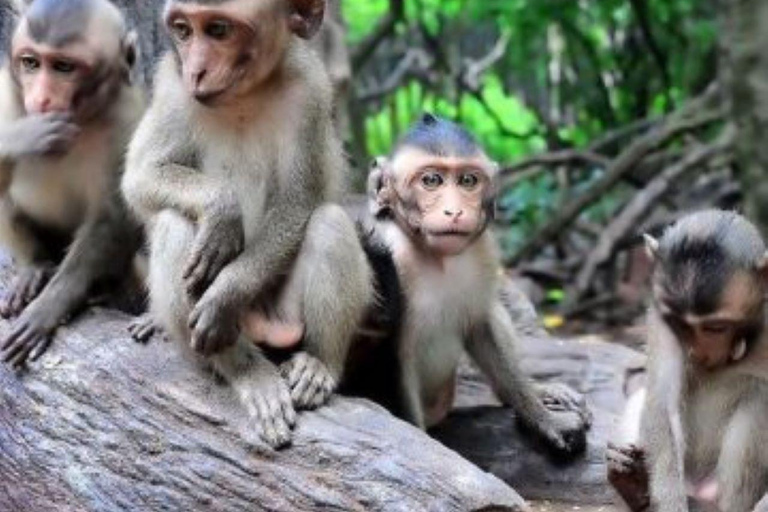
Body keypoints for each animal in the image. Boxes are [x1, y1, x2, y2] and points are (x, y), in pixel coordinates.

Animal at [0, 0, 143, 368]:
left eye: (64, 67)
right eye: (31, 62)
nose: (42, 100)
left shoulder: (129, 124)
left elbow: (112, 220)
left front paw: (49, 308)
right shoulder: (4, 96)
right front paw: (25, 137)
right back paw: (35, 266)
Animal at [121, 0, 374, 448]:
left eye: (219, 30)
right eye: (183, 31)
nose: (196, 71)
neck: (245, 95)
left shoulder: (309, 90)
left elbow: (298, 202)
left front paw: (226, 294)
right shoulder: (172, 86)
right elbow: (142, 176)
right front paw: (221, 210)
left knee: (329, 223)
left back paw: (318, 365)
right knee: (173, 223)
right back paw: (246, 371)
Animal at [608, 209, 768, 512]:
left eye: (716, 327)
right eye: (679, 324)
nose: (697, 352)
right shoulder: (660, 313)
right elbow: (662, 401)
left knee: (759, 399)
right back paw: (633, 487)